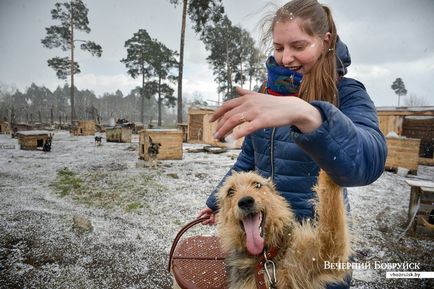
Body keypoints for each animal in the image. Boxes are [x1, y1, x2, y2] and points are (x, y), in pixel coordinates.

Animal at [217, 170, 350, 288]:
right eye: (230, 191)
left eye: (257, 184)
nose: (245, 201)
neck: (265, 257)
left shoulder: (324, 255)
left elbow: (331, 212)